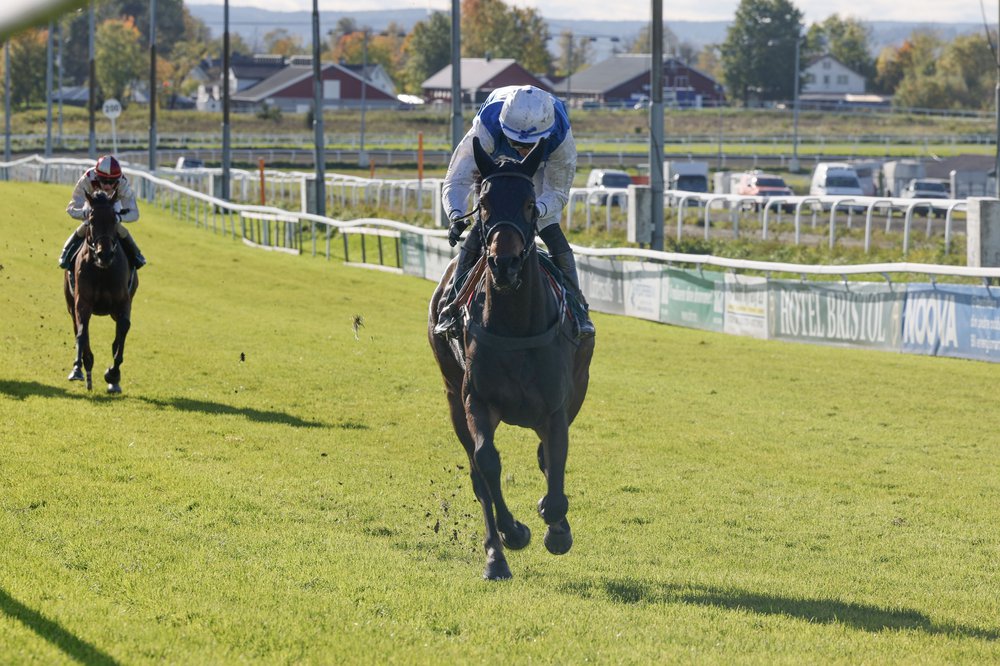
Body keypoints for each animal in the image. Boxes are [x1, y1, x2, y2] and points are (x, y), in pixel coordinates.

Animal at [63, 189, 139, 392]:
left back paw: (114, 383)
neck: (102, 270)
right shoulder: (82, 302)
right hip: (71, 305)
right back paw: (86, 370)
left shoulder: (123, 302)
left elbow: (123, 330)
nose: (104, 254)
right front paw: (79, 369)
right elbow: (82, 333)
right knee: (79, 329)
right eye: (91, 220)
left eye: (114, 219)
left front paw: (113, 374)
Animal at [428, 137, 592, 580]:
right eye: (484, 203)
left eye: (530, 203)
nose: (505, 263)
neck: (516, 323)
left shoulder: (557, 406)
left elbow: (554, 462)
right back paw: (495, 557)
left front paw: (557, 529)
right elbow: (487, 464)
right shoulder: (475, 400)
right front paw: (513, 533)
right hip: (451, 393)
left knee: (544, 458)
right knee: (477, 472)